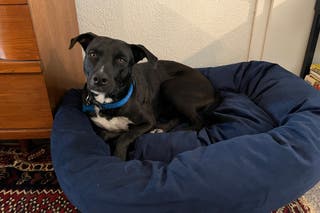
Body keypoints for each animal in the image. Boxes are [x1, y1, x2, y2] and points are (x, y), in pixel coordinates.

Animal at [69, 32, 220, 160]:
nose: (100, 79)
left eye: (122, 60)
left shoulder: (148, 121)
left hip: (171, 87)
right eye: (92, 54)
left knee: (198, 121)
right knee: (179, 117)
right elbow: (106, 134)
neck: (107, 102)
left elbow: (125, 136)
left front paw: (119, 154)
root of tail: (213, 89)